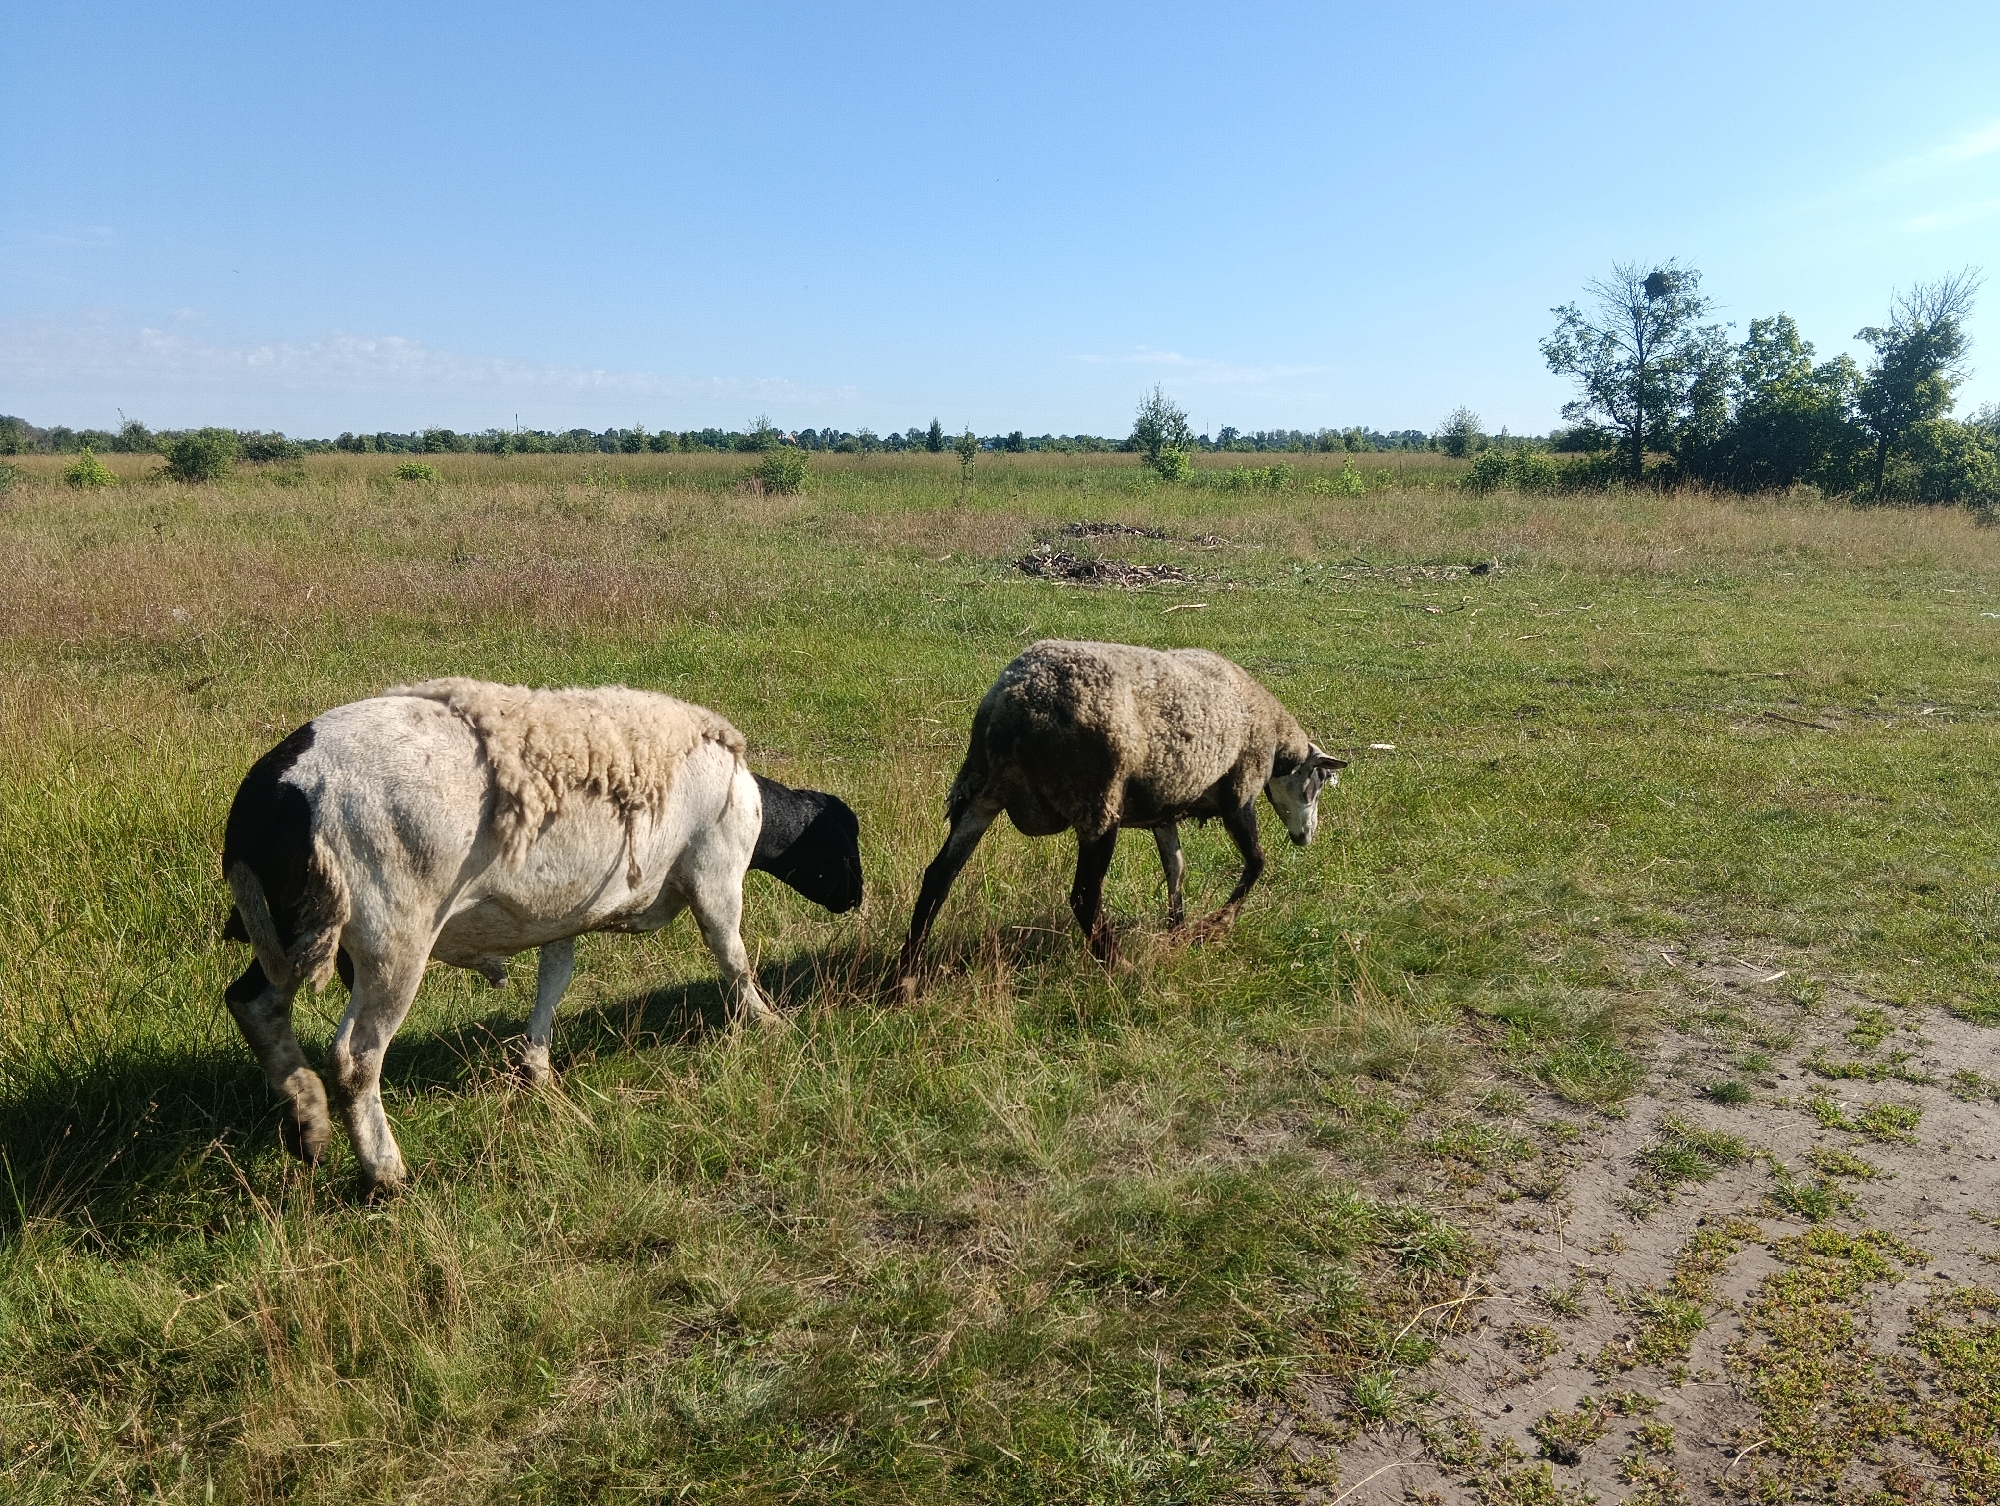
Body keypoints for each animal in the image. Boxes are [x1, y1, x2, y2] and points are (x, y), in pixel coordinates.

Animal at [220, 678, 862, 1195]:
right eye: (843, 841)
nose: (857, 900)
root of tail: (267, 799)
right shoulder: (716, 873)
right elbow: (732, 957)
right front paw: (767, 1023)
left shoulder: (562, 914)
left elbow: (556, 979)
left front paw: (537, 1067)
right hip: (393, 938)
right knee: (354, 1058)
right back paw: (385, 1174)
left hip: (288, 927)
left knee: (253, 1005)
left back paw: (307, 1120)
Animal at [896, 639, 1343, 992]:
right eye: (1318, 781)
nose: (1306, 837)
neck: (1274, 739)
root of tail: (1014, 703)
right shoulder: (1240, 794)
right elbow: (1255, 863)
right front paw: (1215, 925)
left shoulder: (1164, 813)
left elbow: (1176, 868)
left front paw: (1177, 931)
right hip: (1097, 802)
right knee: (1083, 896)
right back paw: (1119, 966)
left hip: (980, 792)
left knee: (938, 877)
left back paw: (906, 979)